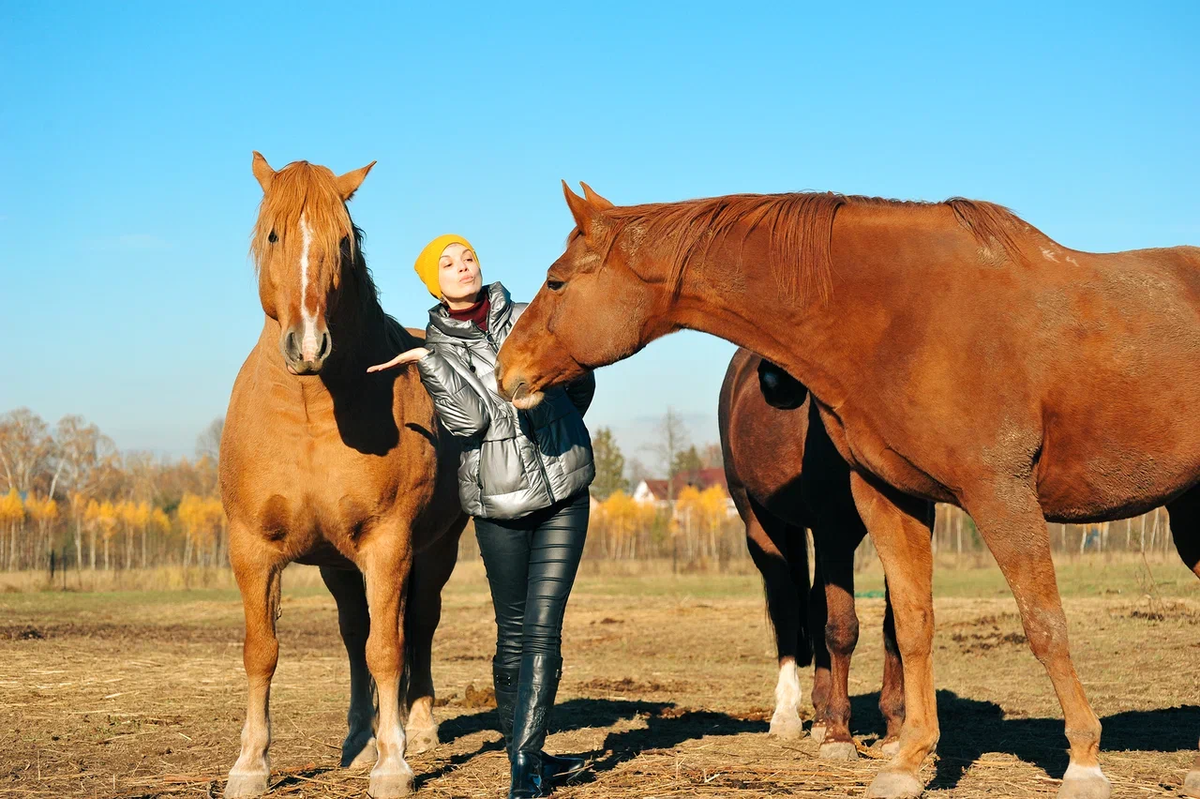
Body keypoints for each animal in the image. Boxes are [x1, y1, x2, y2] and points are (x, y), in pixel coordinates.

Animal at [220, 152, 468, 791]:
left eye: (343, 241)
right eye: (274, 235)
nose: (308, 347)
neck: (312, 414)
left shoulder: (388, 544)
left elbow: (389, 648)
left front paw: (394, 763)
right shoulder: (252, 549)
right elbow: (263, 650)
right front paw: (249, 765)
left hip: (436, 550)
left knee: (418, 625)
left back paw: (418, 729)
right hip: (337, 564)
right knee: (355, 634)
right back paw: (358, 738)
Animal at [715, 350, 902, 758]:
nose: (771, 382)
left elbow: (897, 625)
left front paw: (896, 732)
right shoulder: (834, 529)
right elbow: (843, 628)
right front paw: (839, 738)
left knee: (815, 606)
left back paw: (820, 717)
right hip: (758, 520)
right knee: (787, 604)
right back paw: (788, 715)